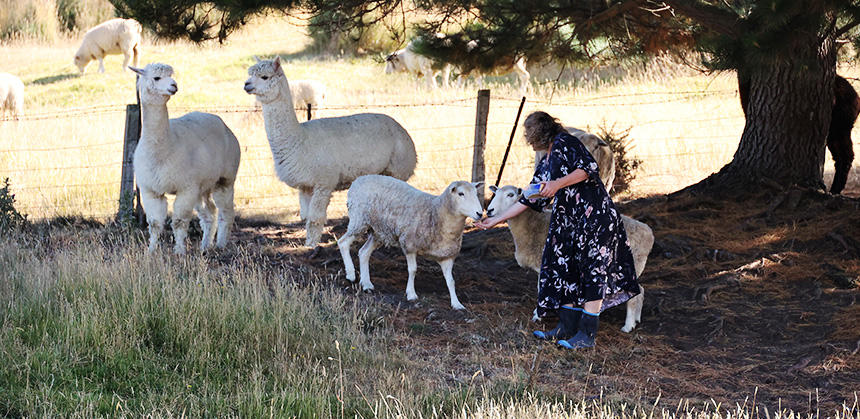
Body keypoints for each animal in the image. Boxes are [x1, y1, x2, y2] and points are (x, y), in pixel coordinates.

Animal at [129, 63, 242, 254]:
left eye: (172, 76)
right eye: (157, 78)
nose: (174, 86)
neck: (164, 150)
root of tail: (224, 125)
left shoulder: (185, 188)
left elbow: (179, 222)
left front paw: (180, 251)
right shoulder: (150, 189)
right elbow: (154, 223)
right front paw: (151, 251)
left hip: (225, 178)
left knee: (226, 211)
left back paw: (220, 245)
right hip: (202, 186)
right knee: (210, 213)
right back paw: (205, 246)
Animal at [244, 56, 418, 248]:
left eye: (265, 77)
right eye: (250, 74)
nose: (246, 85)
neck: (300, 140)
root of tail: (404, 132)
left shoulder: (324, 183)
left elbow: (315, 219)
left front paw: (312, 246)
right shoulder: (305, 185)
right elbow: (305, 217)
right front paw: (307, 244)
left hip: (399, 167)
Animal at [336, 176, 484, 310]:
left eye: (476, 193)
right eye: (461, 194)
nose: (480, 213)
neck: (435, 212)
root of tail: (358, 180)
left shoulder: (447, 255)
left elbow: (451, 281)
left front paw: (456, 303)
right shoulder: (409, 244)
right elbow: (412, 270)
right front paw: (411, 294)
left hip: (379, 231)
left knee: (363, 252)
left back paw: (366, 284)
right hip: (359, 219)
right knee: (343, 243)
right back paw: (351, 274)